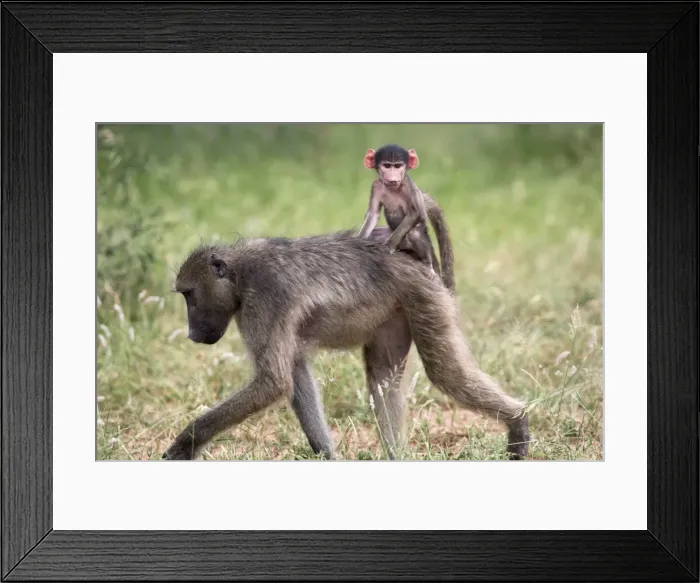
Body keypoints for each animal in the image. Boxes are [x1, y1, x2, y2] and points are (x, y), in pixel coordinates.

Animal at [162, 229, 530, 462]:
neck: (240, 272)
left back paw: (518, 421)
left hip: (426, 300)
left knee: (445, 373)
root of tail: (409, 259)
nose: (192, 333)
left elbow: (273, 382)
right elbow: (295, 375)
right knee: (383, 381)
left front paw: (185, 444)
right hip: (395, 316)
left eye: (189, 295)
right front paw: (327, 455)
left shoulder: (265, 300)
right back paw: (397, 457)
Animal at [358, 144, 455, 293]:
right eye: (387, 165)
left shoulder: (408, 185)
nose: (393, 178)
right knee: (376, 233)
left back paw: (428, 265)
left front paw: (387, 248)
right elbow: (373, 214)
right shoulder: (376, 185)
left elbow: (415, 213)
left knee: (414, 234)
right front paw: (358, 240)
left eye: (398, 166)